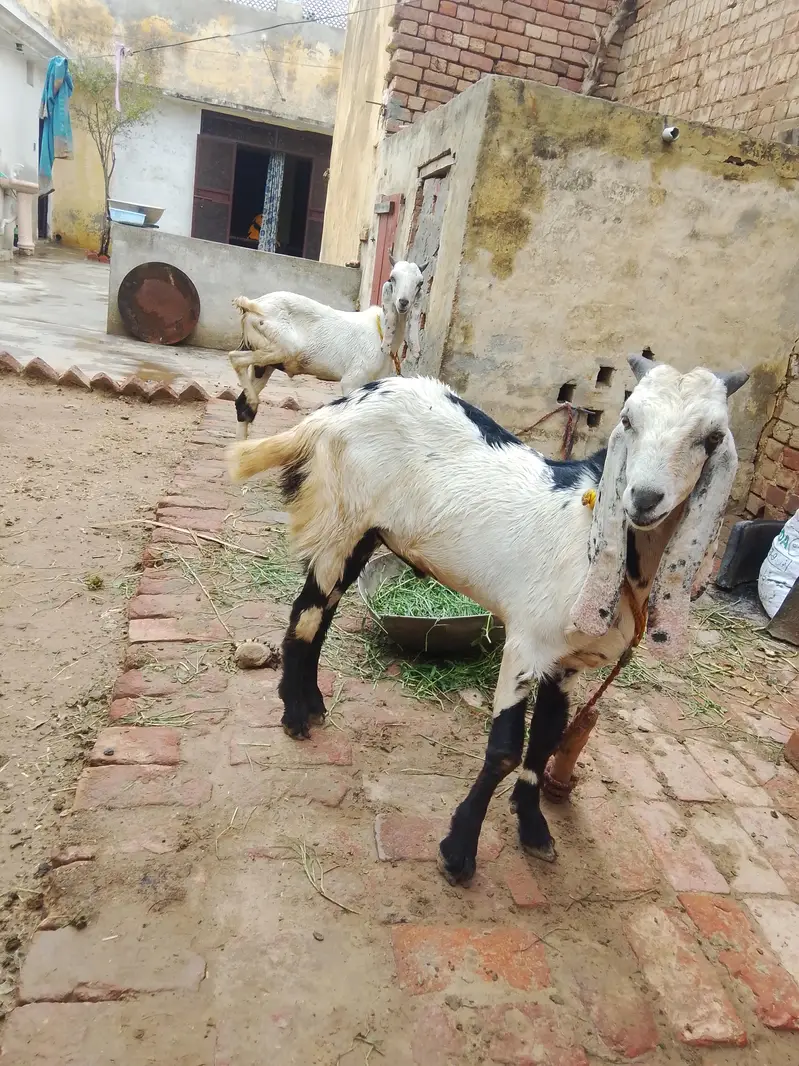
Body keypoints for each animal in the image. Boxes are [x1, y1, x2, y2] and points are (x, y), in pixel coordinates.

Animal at [227, 353, 748, 885]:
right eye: (628, 419)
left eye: (711, 439)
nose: (643, 499)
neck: (590, 534)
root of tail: (336, 410)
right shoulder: (526, 643)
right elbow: (504, 750)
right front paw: (458, 852)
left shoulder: (568, 662)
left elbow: (545, 740)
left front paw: (534, 828)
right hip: (341, 520)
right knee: (306, 618)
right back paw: (295, 716)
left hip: (364, 534)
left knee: (323, 617)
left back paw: (313, 705)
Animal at [229, 257, 427, 439]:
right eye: (392, 278)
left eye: (420, 283)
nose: (403, 302)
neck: (380, 332)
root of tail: (253, 305)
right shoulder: (352, 380)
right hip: (282, 346)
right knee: (235, 359)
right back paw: (253, 402)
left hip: (265, 361)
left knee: (242, 405)